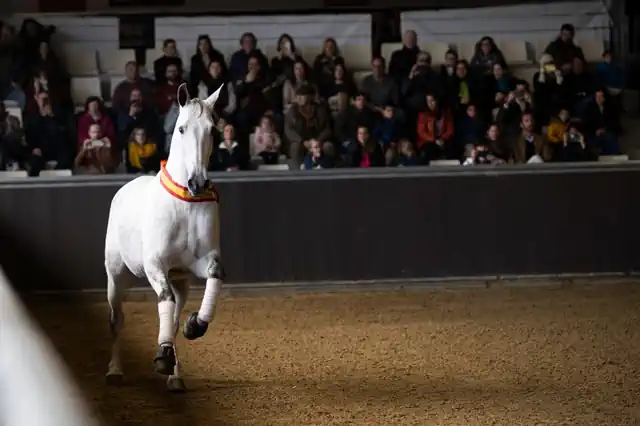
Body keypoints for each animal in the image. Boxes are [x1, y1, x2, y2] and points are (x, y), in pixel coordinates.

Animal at [104, 83, 224, 392]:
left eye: (213, 130)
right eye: (181, 128)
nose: (197, 182)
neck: (186, 203)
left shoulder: (202, 263)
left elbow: (213, 280)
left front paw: (195, 325)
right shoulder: (155, 265)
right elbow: (164, 299)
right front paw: (162, 356)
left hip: (180, 280)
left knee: (175, 313)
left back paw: (176, 377)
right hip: (117, 276)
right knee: (117, 320)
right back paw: (115, 370)